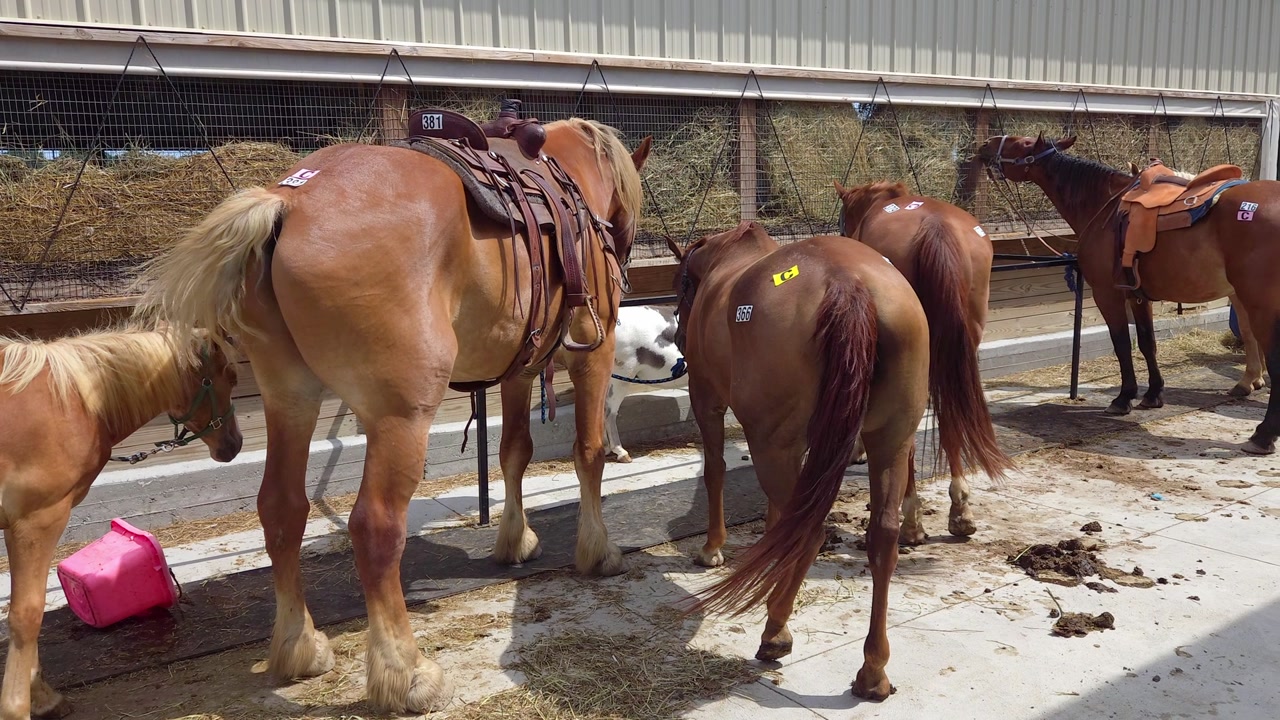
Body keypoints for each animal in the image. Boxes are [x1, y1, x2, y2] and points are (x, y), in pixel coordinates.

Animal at [0, 325, 241, 720]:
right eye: (231, 377)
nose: (233, 444)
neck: (74, 404)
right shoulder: (37, 521)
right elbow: (27, 614)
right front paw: (25, 703)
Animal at [132, 118, 650, 713]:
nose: (624, 260)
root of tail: (290, 202)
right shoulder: (594, 356)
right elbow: (588, 452)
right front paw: (598, 550)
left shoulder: (518, 371)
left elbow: (513, 453)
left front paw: (513, 540)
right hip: (400, 417)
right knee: (374, 527)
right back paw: (405, 673)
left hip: (290, 398)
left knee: (281, 508)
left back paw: (298, 647)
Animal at [671, 221, 929, 701]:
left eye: (682, 285)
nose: (678, 338)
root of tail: (849, 283)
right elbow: (778, 517)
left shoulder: (707, 398)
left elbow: (715, 470)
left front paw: (712, 548)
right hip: (891, 439)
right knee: (881, 537)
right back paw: (872, 671)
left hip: (772, 445)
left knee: (808, 534)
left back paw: (775, 631)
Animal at [977, 133, 1280, 454]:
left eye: (1022, 143)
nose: (986, 144)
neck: (1104, 207)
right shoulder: (1138, 295)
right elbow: (1147, 343)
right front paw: (1153, 394)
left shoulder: (1107, 294)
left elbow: (1122, 343)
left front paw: (1124, 398)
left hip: (1260, 306)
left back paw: (1263, 435)